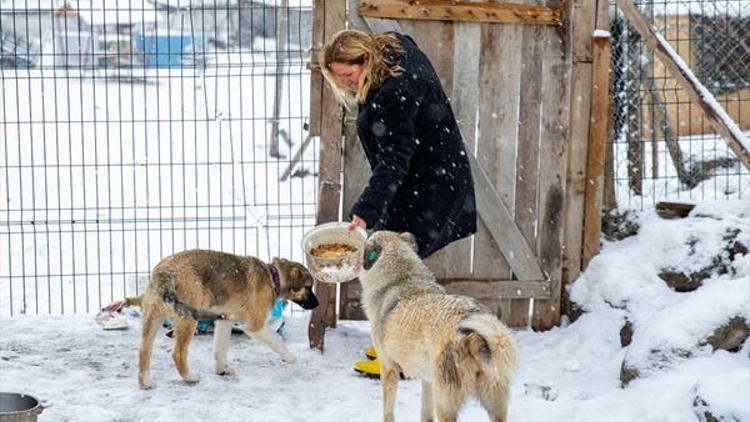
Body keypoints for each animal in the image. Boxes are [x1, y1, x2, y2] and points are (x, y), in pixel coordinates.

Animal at [138, 249, 318, 390]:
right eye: (308, 286)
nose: (317, 304)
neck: (274, 278)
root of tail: (164, 273)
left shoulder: (225, 320)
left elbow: (221, 348)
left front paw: (222, 370)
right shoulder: (255, 326)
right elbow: (277, 339)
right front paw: (289, 357)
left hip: (153, 318)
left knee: (144, 350)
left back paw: (145, 382)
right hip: (188, 320)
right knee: (178, 353)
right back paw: (190, 377)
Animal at [362, 231, 520, 422]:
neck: (400, 279)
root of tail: (473, 337)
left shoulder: (389, 369)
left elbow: (388, 412)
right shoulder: (428, 380)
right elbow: (425, 414)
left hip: (445, 404)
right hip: (494, 405)